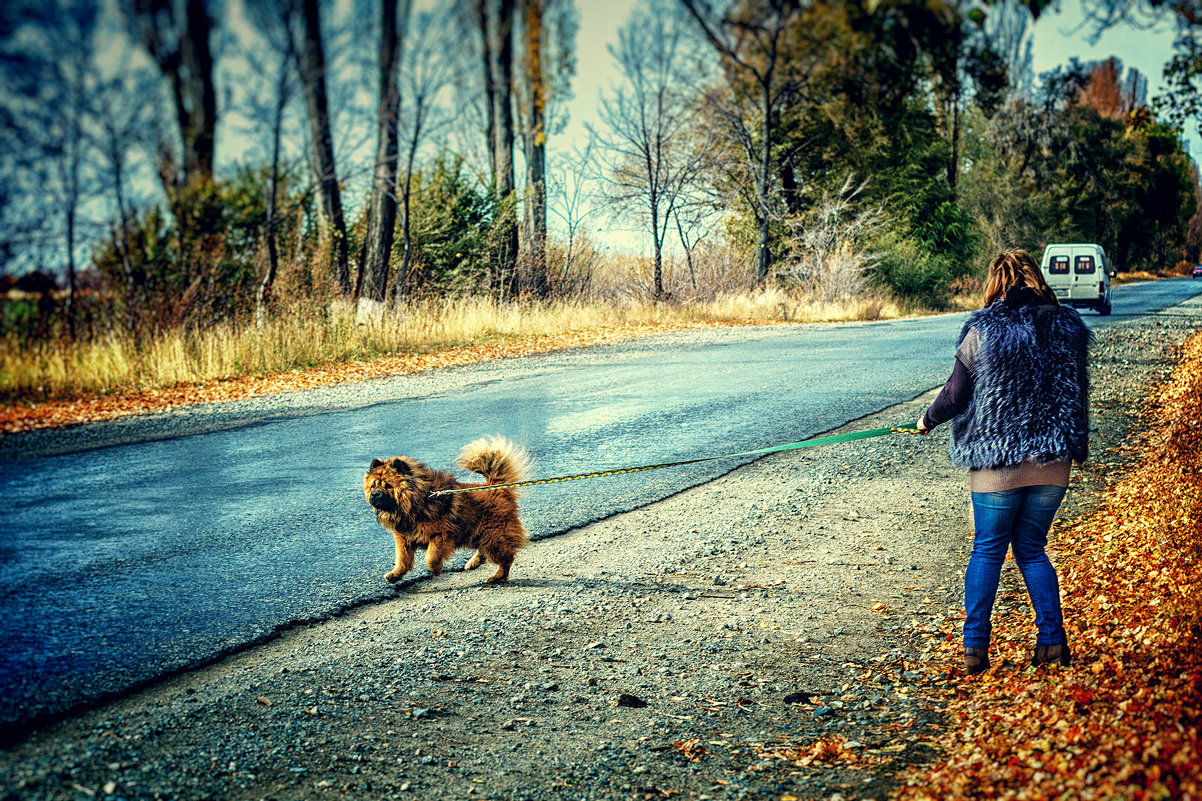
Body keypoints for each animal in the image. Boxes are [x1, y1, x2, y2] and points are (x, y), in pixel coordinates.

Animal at [358, 437, 533, 579]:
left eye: (388, 485)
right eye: (373, 485)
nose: (374, 494)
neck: (417, 502)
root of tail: (497, 487)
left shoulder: (441, 535)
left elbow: (431, 557)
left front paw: (435, 570)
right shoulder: (403, 539)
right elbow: (402, 560)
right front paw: (394, 575)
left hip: (494, 537)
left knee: (506, 559)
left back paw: (497, 576)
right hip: (479, 534)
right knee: (485, 551)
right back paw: (474, 563)